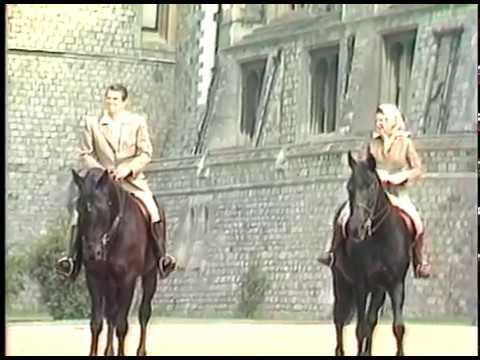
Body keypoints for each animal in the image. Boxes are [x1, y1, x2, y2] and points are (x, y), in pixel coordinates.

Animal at [71, 167, 165, 356]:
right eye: (79, 208)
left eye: (103, 208)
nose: (93, 253)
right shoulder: (95, 278)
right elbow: (97, 322)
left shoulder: (128, 279)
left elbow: (122, 325)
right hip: (111, 283)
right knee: (111, 315)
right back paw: (109, 351)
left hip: (150, 274)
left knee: (144, 312)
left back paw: (140, 350)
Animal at [330, 150, 412, 356]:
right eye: (349, 187)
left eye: (372, 185)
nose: (355, 228)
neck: (381, 239)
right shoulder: (361, 285)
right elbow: (360, 328)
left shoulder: (395, 284)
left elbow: (397, 327)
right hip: (341, 282)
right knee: (339, 319)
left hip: (377, 291)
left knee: (371, 320)